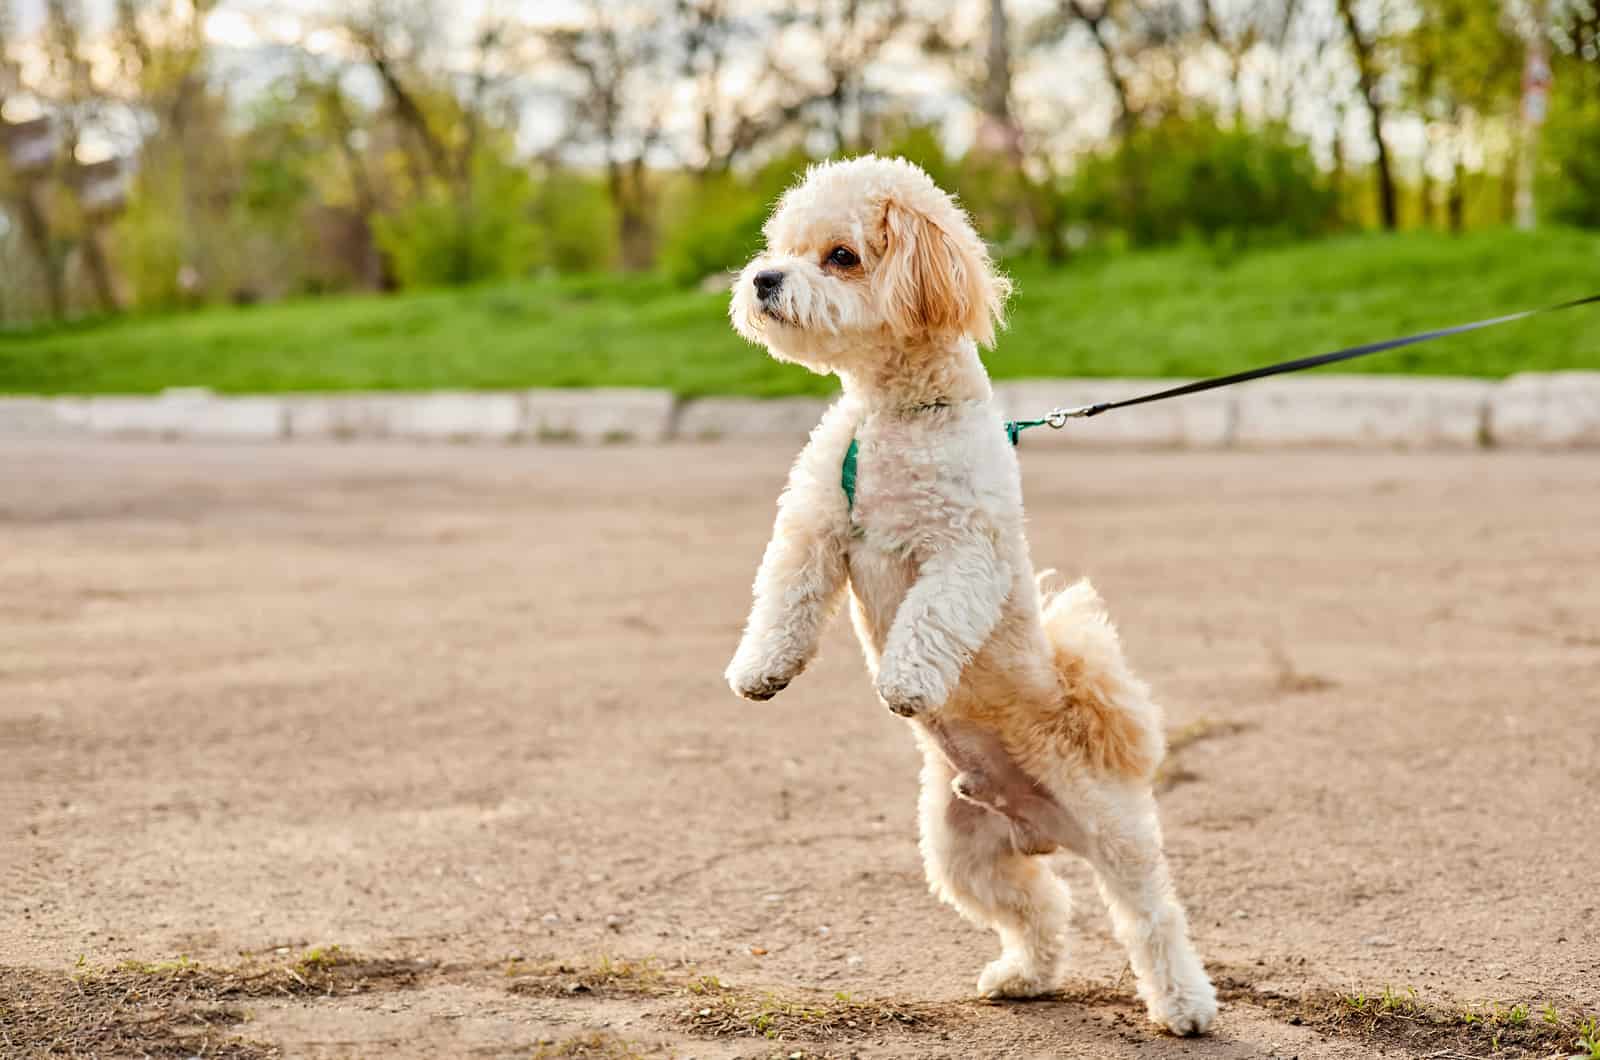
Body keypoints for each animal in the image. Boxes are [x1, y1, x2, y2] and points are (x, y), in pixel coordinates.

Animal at [723, 156, 1209, 1037]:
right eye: (784, 247)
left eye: (841, 256)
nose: (764, 279)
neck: (893, 416)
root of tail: (1045, 828)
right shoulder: (815, 527)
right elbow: (783, 595)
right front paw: (760, 668)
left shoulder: (964, 554)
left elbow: (930, 618)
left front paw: (906, 683)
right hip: (964, 854)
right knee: (1042, 910)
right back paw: (1024, 976)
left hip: (1115, 832)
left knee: (1150, 916)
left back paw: (1185, 1003)